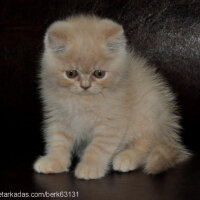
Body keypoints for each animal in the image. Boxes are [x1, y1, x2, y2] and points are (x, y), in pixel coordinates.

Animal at [33, 14, 191, 180]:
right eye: (71, 73)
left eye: (99, 74)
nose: (85, 86)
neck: (83, 100)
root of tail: (171, 137)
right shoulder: (59, 117)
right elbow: (57, 140)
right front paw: (54, 161)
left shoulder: (111, 122)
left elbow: (98, 147)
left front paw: (90, 166)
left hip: (148, 114)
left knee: (145, 146)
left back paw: (126, 157)